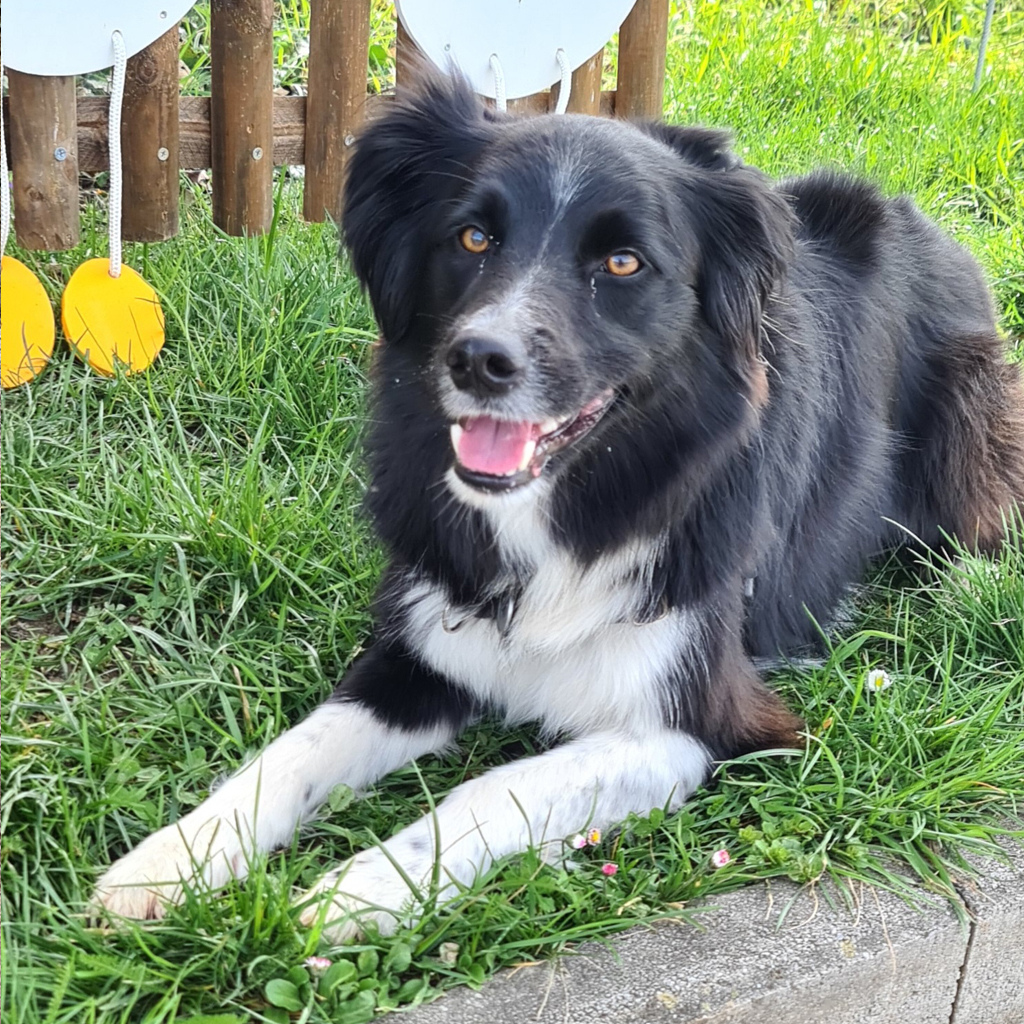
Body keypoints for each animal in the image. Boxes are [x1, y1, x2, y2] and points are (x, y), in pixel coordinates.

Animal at [92, 70, 1019, 937]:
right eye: (472, 236)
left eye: (623, 263)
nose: (479, 360)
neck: (571, 503)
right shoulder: (425, 644)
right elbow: (295, 750)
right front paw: (169, 861)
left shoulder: (697, 722)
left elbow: (490, 788)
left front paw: (351, 894)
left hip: (969, 413)